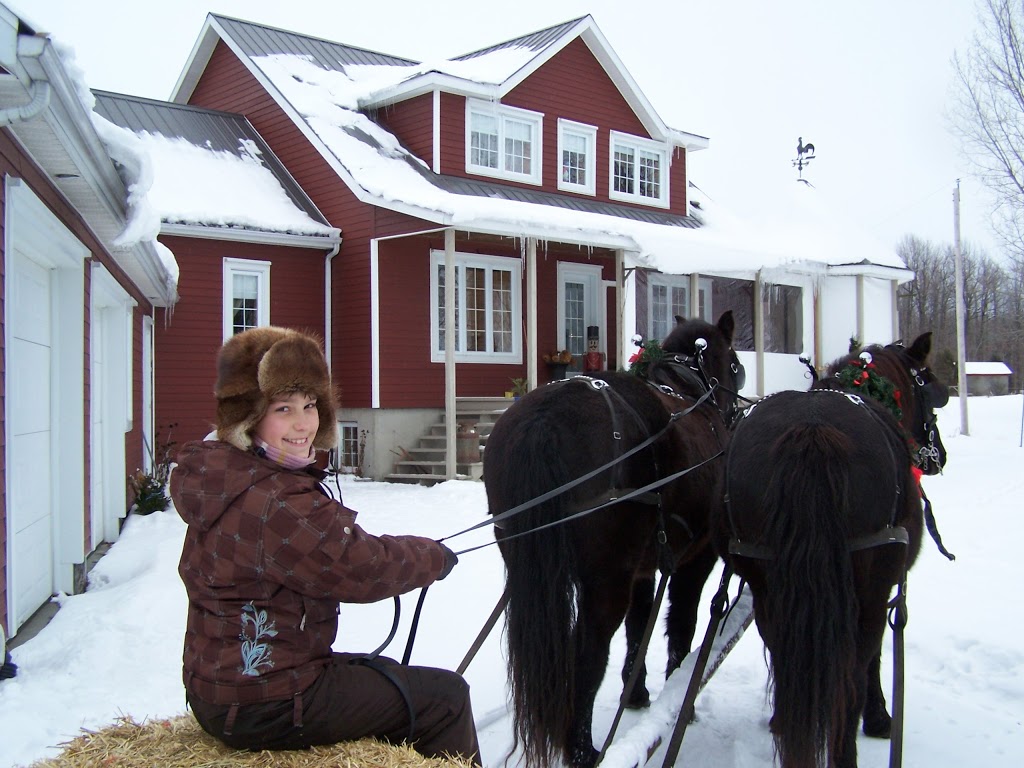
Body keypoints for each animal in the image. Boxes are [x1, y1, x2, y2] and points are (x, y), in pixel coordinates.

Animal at [483, 313, 741, 768]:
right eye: (735, 365)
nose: (735, 409)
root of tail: (544, 420)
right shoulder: (697, 557)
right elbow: (681, 623)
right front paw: (680, 695)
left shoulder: (643, 567)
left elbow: (640, 627)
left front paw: (636, 693)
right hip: (608, 578)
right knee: (589, 653)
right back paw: (584, 750)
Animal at [716, 335, 946, 768]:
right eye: (928, 387)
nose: (937, 455)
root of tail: (811, 434)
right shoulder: (882, 589)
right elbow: (874, 660)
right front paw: (879, 717)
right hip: (867, 588)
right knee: (850, 679)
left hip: (767, 585)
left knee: (788, 662)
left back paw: (786, 722)